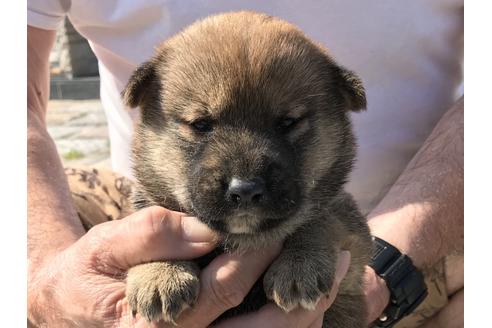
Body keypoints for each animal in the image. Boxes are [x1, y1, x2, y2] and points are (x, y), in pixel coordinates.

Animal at [123, 11, 372, 326]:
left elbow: (322, 220)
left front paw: (299, 266)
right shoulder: (147, 203)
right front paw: (160, 276)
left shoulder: (352, 241)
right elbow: (153, 225)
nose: (245, 190)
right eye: (200, 124)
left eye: (288, 123)